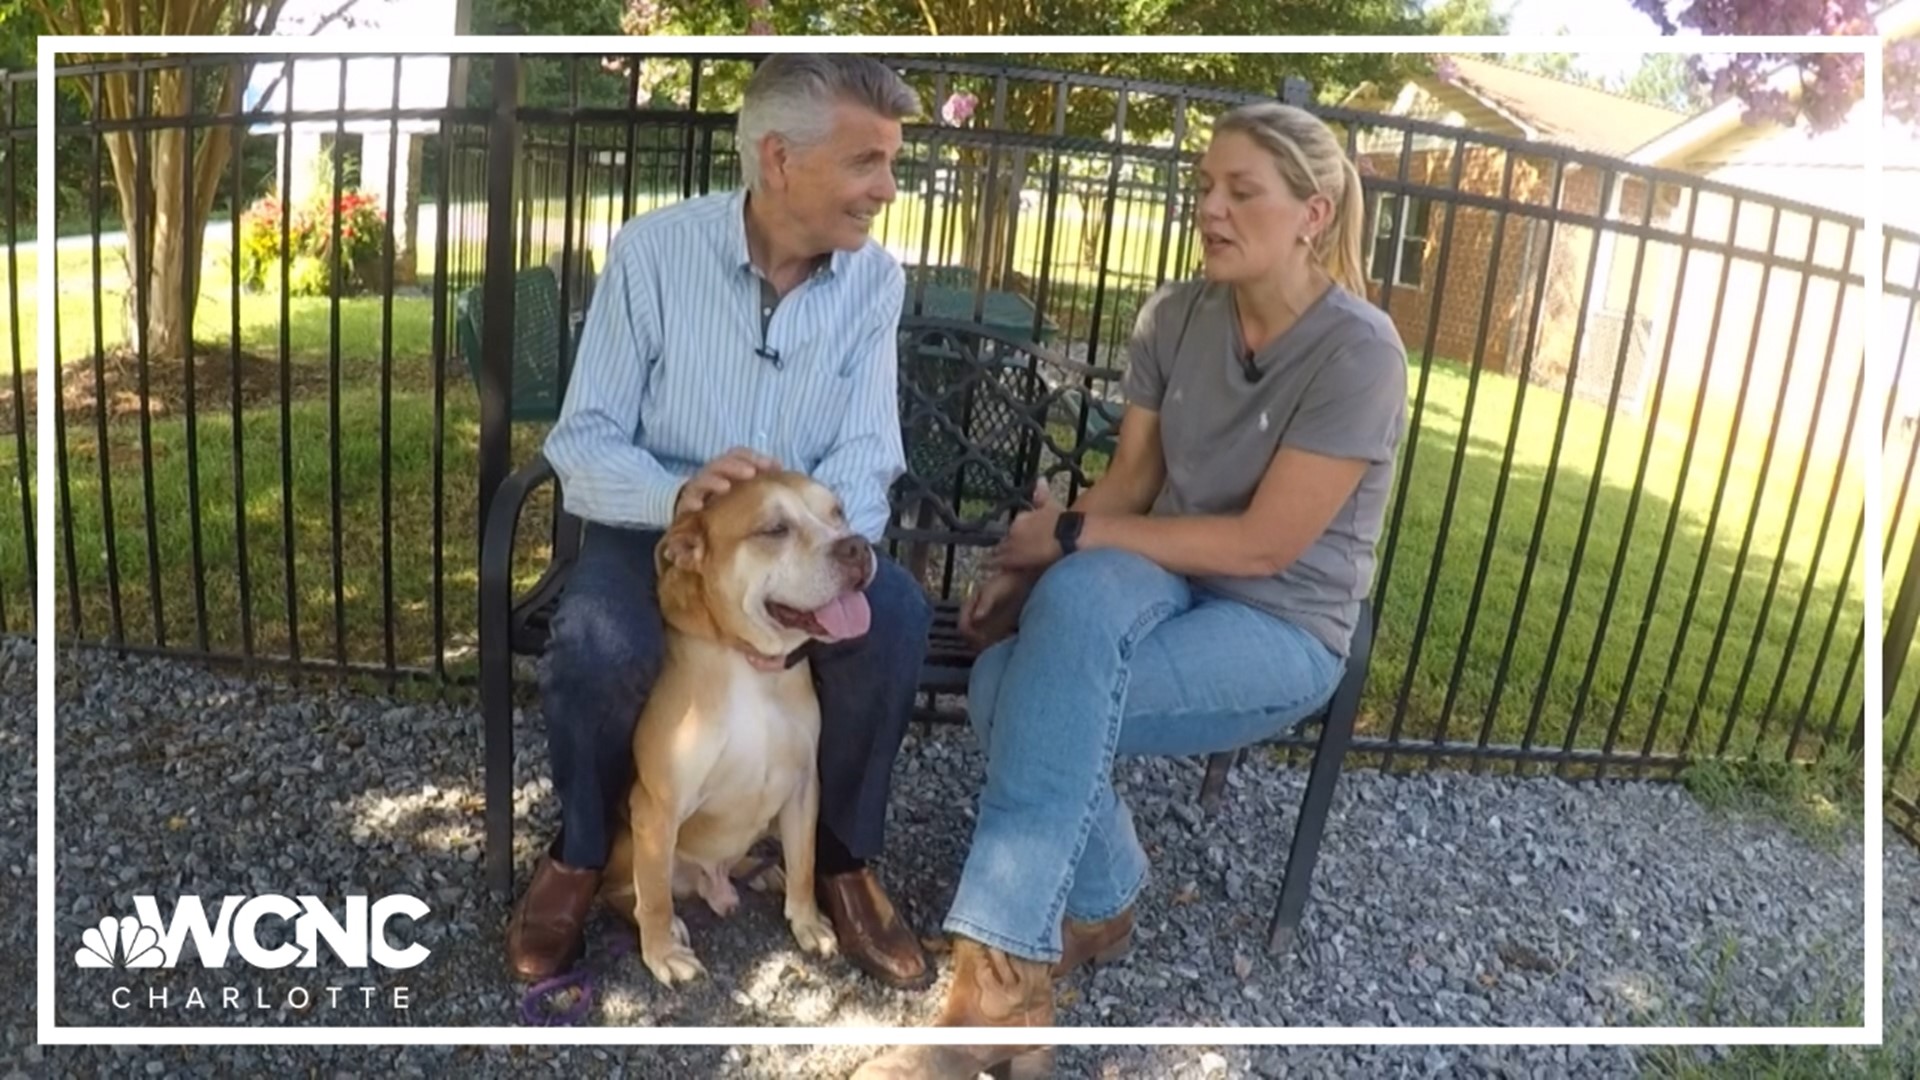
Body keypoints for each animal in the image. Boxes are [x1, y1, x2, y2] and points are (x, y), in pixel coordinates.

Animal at [595, 470, 879, 983]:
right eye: (774, 529)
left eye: (837, 513)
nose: (856, 547)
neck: (748, 664)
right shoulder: (658, 805)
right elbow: (654, 897)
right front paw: (661, 952)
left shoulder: (804, 785)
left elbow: (805, 862)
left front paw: (807, 921)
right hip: (630, 843)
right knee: (634, 891)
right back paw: (668, 927)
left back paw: (760, 870)